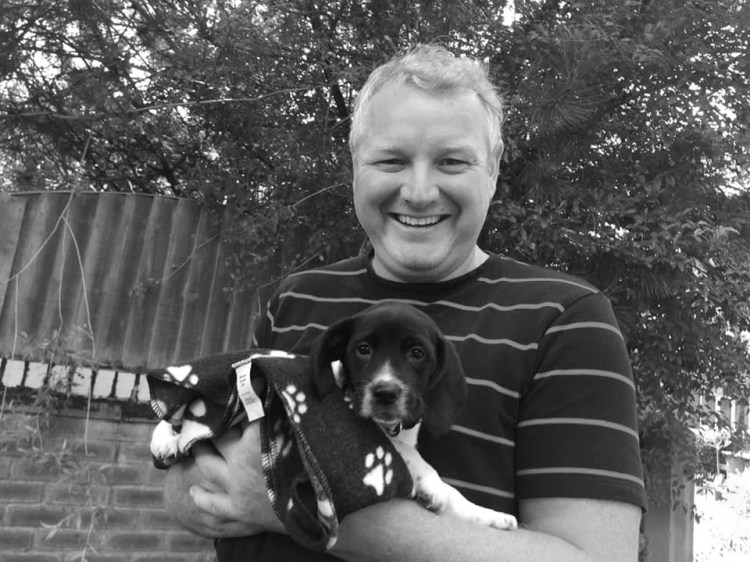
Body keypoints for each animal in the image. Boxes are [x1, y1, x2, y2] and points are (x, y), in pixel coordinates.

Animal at [313, 302, 517, 531]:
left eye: (417, 353)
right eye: (363, 349)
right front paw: (431, 481)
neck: (390, 427)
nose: (385, 393)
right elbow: (402, 449)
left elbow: (454, 493)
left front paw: (490, 516)